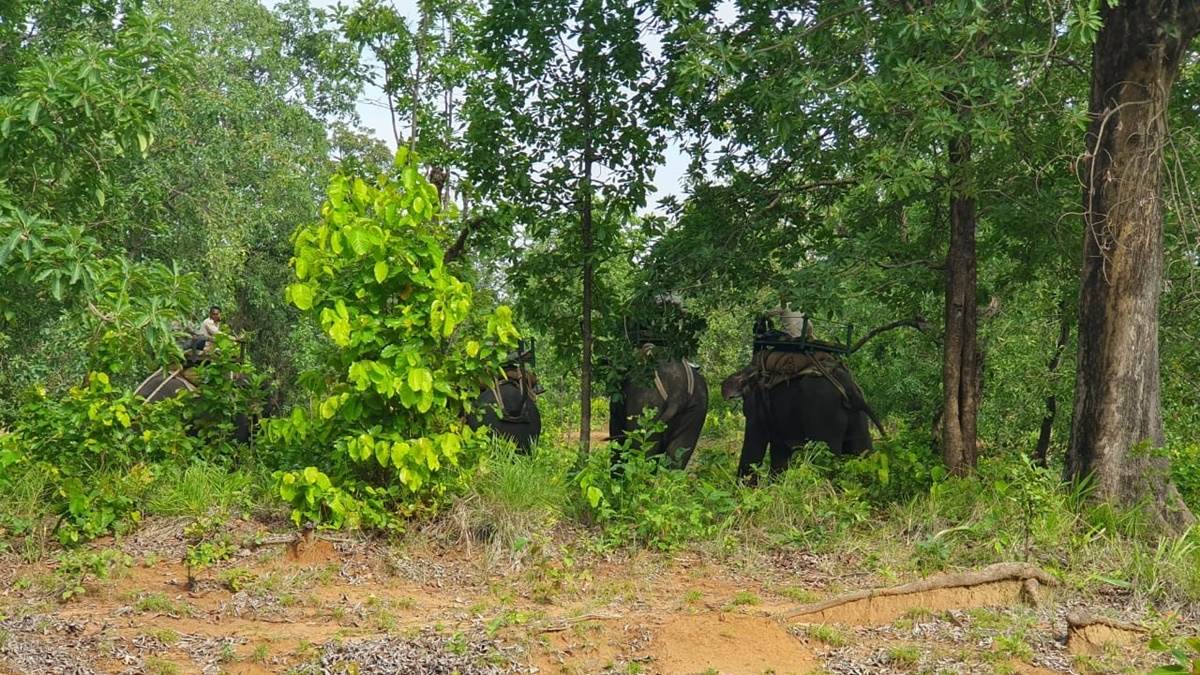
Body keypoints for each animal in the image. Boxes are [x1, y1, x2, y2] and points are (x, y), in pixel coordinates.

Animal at [720, 345, 883, 478]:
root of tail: (847, 384)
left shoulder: (757, 405)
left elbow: (754, 445)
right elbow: (779, 451)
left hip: (823, 414)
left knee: (826, 458)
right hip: (857, 416)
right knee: (863, 452)